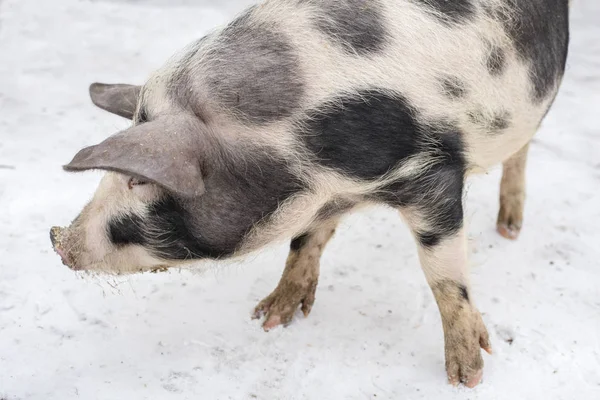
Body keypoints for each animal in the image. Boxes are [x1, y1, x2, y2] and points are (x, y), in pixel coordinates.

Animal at [50, 0, 568, 388]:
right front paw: (270, 318)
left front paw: (467, 376)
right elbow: (306, 240)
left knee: (522, 150)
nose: (58, 241)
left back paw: (509, 229)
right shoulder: (325, 196)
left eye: (137, 181)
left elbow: (443, 274)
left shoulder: (430, 172)